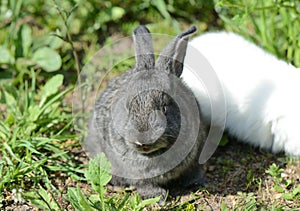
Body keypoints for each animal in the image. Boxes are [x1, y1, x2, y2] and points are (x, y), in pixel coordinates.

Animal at [86, 25, 207, 200]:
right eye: (128, 107)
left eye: (164, 107)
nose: (142, 142)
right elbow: (144, 184)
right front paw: (158, 196)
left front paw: (197, 181)